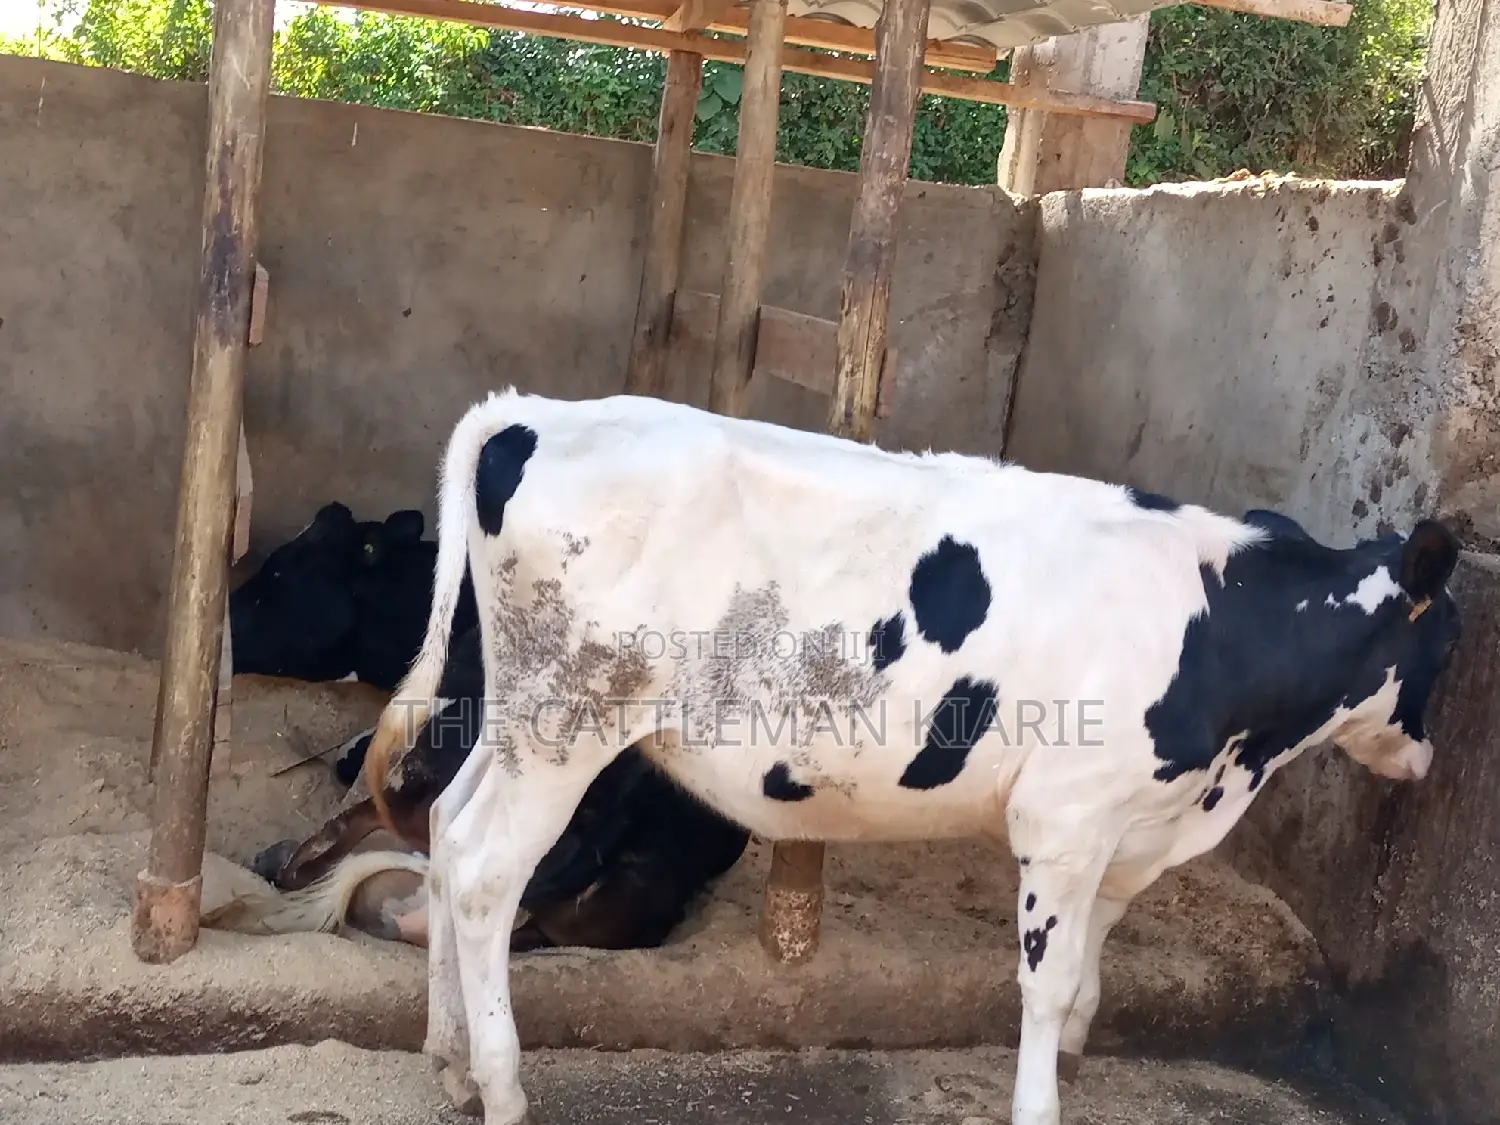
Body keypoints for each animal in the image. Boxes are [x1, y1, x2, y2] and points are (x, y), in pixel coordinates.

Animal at [358, 388, 1463, 1125]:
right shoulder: (1064, 822)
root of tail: (532, 411)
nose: (1426, 762)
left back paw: (447, 1056)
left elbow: (1093, 964)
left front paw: (1075, 1053)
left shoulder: (1130, 824)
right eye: (1451, 641)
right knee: (488, 870)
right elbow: (1047, 980)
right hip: (571, 718)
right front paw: (1039, 1100)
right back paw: (501, 1084)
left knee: (447, 831)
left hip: (520, 716)